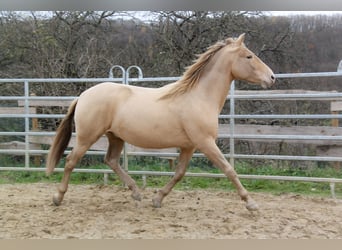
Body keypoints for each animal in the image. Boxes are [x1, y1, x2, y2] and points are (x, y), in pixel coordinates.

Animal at [46, 33, 276, 211]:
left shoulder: (189, 146)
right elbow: (229, 170)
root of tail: (82, 96)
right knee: (70, 161)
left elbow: (179, 173)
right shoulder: (205, 142)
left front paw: (157, 199)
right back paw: (58, 197)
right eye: (249, 56)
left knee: (110, 160)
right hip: (87, 137)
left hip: (115, 137)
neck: (198, 97)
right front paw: (251, 204)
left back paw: (136, 193)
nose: (272, 77)